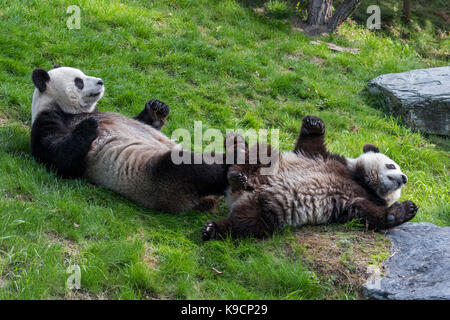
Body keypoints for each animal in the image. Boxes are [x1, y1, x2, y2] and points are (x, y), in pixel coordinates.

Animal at [30, 65, 232, 212]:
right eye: (79, 82)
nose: (100, 82)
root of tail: (205, 200)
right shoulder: (50, 119)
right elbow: (59, 159)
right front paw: (89, 126)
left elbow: (144, 121)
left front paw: (157, 108)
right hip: (162, 184)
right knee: (184, 165)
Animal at [201, 115, 418, 240]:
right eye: (391, 165)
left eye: (403, 181)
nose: (403, 178)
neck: (362, 181)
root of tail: (241, 192)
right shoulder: (325, 159)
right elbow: (310, 145)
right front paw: (314, 123)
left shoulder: (351, 201)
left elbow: (366, 214)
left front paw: (405, 210)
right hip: (269, 165)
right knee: (260, 153)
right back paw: (237, 161)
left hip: (268, 208)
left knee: (248, 224)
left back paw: (213, 229)